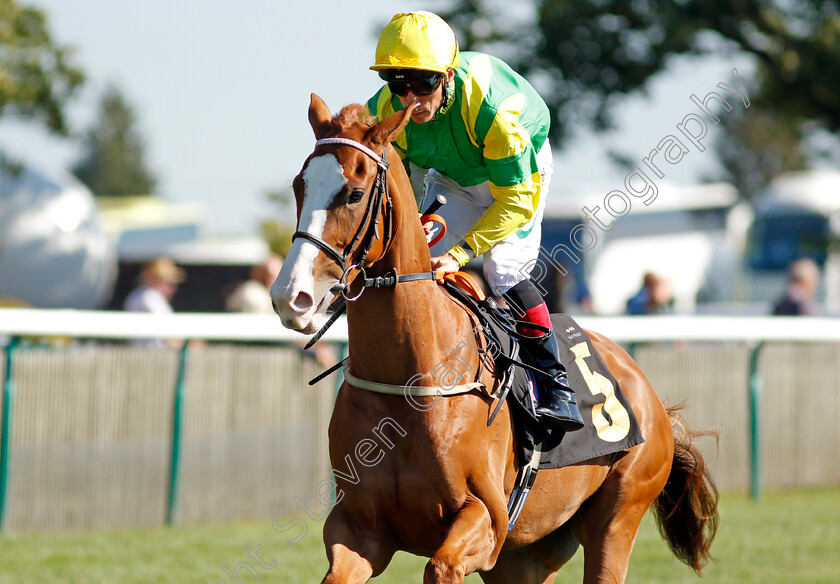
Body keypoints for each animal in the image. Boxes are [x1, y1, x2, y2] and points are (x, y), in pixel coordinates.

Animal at [272, 93, 720, 580]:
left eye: (354, 193)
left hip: (618, 516)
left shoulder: (486, 521)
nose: (289, 296)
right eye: (298, 187)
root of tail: (650, 394)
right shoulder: (356, 529)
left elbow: (440, 564)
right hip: (529, 554)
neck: (411, 379)